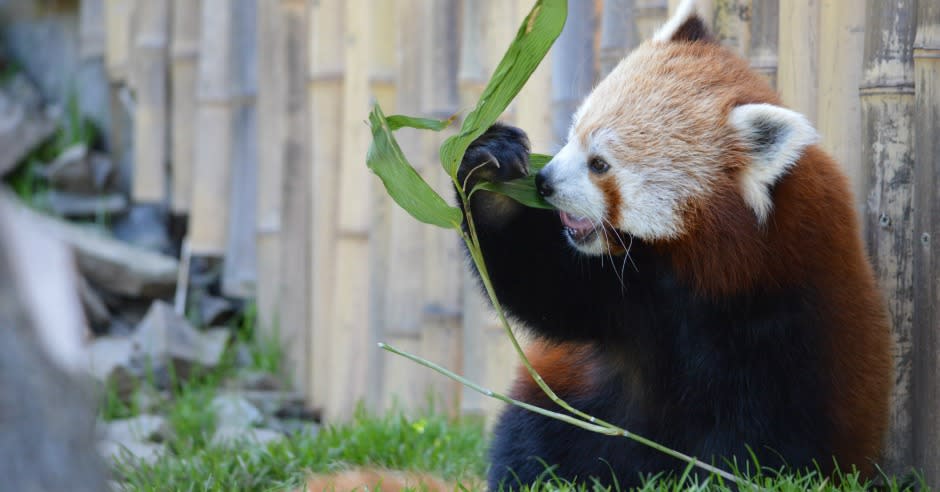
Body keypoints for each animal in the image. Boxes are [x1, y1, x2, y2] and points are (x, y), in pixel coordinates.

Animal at [456, 1, 892, 489]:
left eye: (599, 164)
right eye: (572, 134)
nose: (545, 183)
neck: (699, 273)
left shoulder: (786, 313)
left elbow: (758, 434)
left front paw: (724, 476)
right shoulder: (623, 293)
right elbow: (546, 285)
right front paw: (491, 174)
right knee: (537, 432)